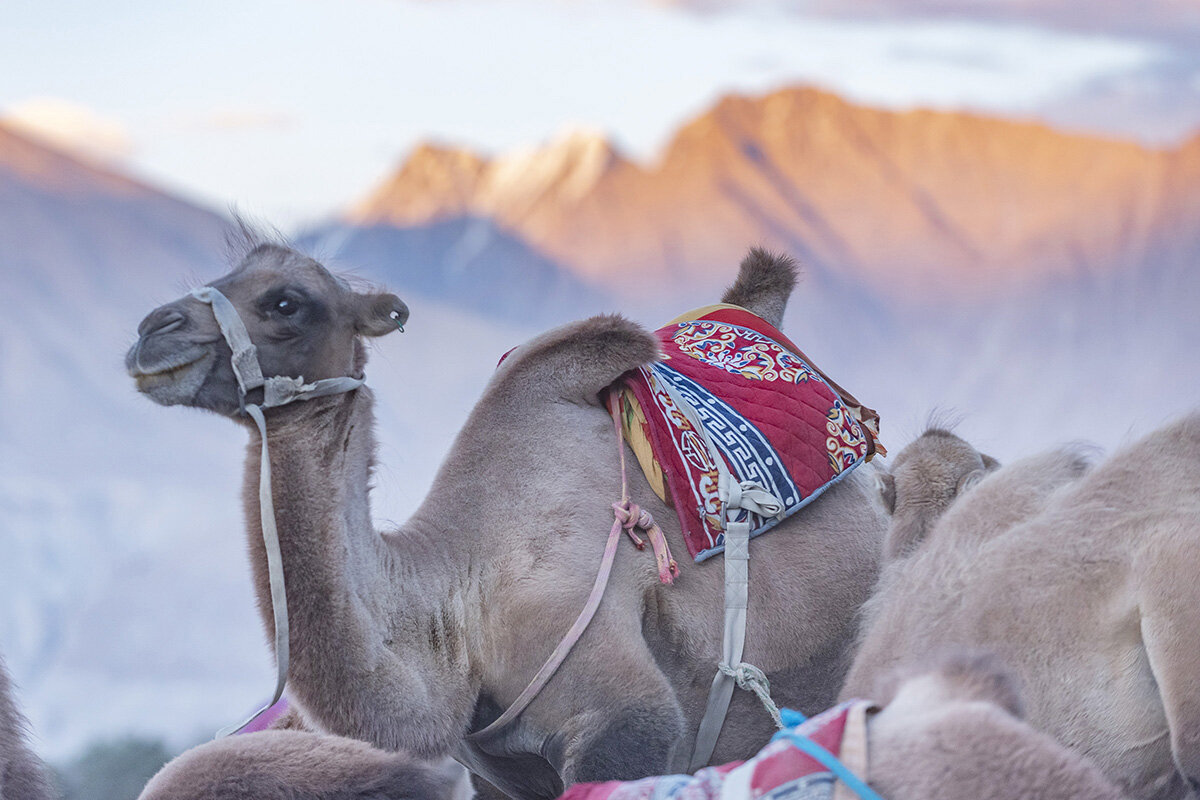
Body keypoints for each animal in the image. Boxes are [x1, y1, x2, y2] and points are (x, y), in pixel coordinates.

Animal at [126, 236, 887, 798]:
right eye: (224, 273)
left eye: (287, 301)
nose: (149, 332)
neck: (458, 602)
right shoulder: (499, 777)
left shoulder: (626, 726)